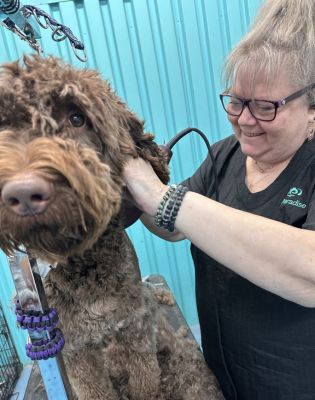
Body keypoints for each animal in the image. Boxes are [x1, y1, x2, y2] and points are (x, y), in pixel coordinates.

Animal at [0, 56, 225, 400]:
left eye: (77, 118)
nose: (23, 193)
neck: (84, 262)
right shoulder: (75, 347)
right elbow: (93, 387)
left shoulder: (134, 327)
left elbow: (146, 380)